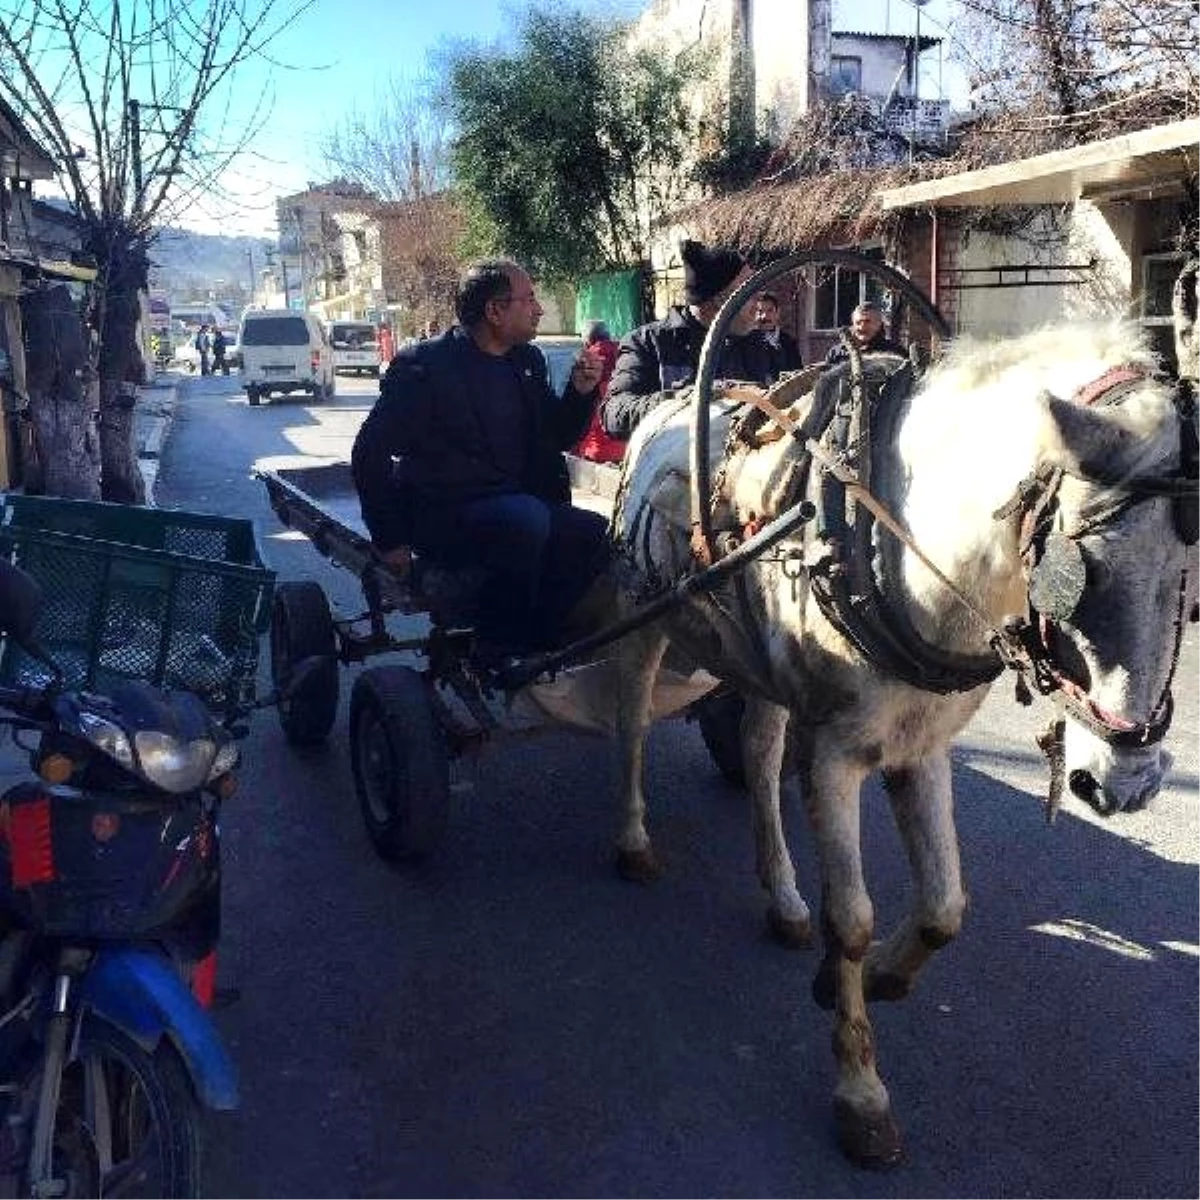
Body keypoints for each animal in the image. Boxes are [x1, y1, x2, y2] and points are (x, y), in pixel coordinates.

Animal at [609, 324, 1200, 1166]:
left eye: (1191, 579)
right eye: (1076, 573)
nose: (1125, 782)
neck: (897, 544)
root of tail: (662, 408)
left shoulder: (921, 747)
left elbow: (944, 906)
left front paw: (877, 977)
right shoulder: (835, 753)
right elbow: (852, 917)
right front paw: (860, 1088)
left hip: (760, 665)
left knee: (758, 752)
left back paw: (782, 896)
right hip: (643, 617)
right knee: (630, 722)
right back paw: (632, 840)